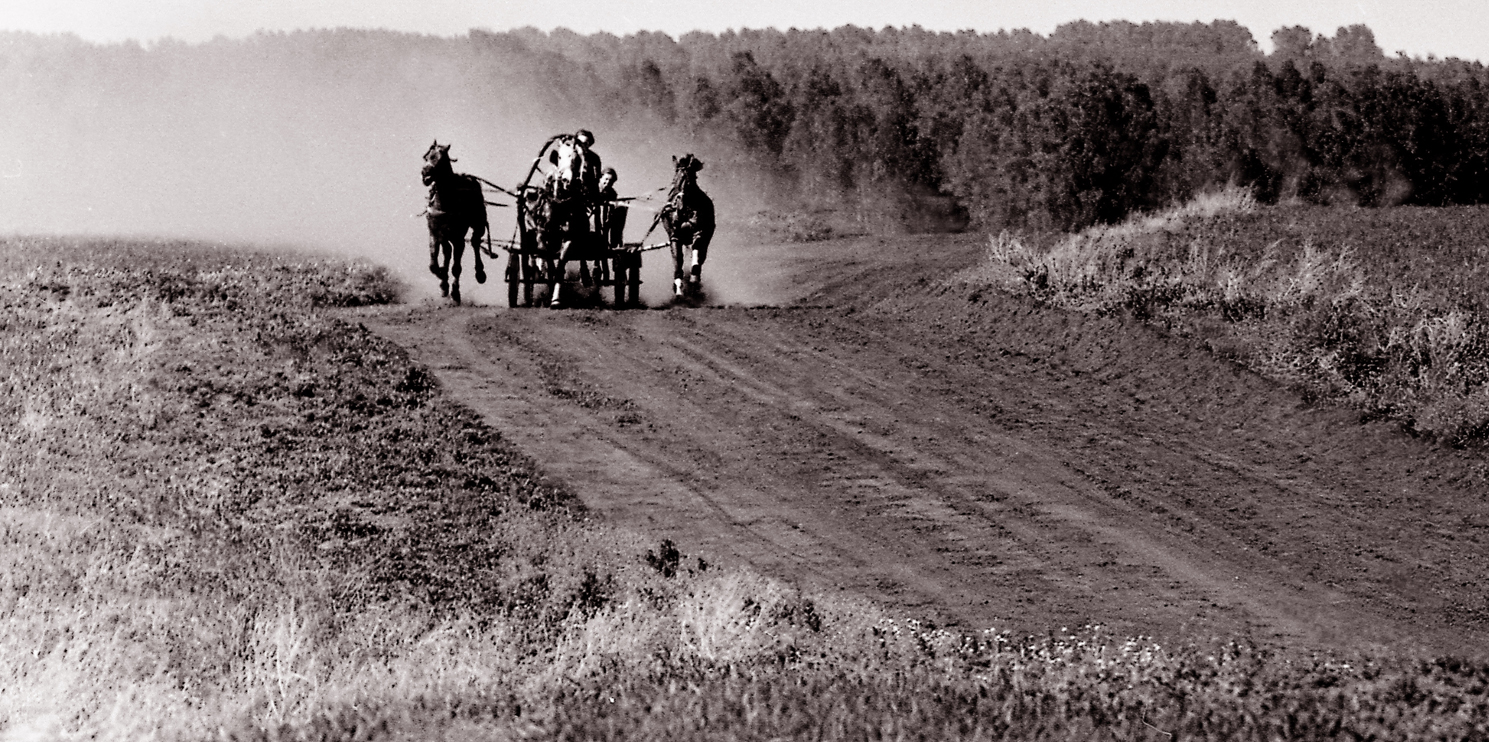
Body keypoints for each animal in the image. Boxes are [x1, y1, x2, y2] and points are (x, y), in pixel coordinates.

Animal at [422, 139, 485, 303]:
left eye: (441, 159)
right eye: (427, 157)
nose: (425, 173)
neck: (445, 203)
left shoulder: (458, 238)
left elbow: (456, 267)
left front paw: (455, 292)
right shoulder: (435, 233)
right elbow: (433, 264)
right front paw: (442, 279)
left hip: (479, 224)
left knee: (476, 242)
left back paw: (480, 273)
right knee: (447, 251)